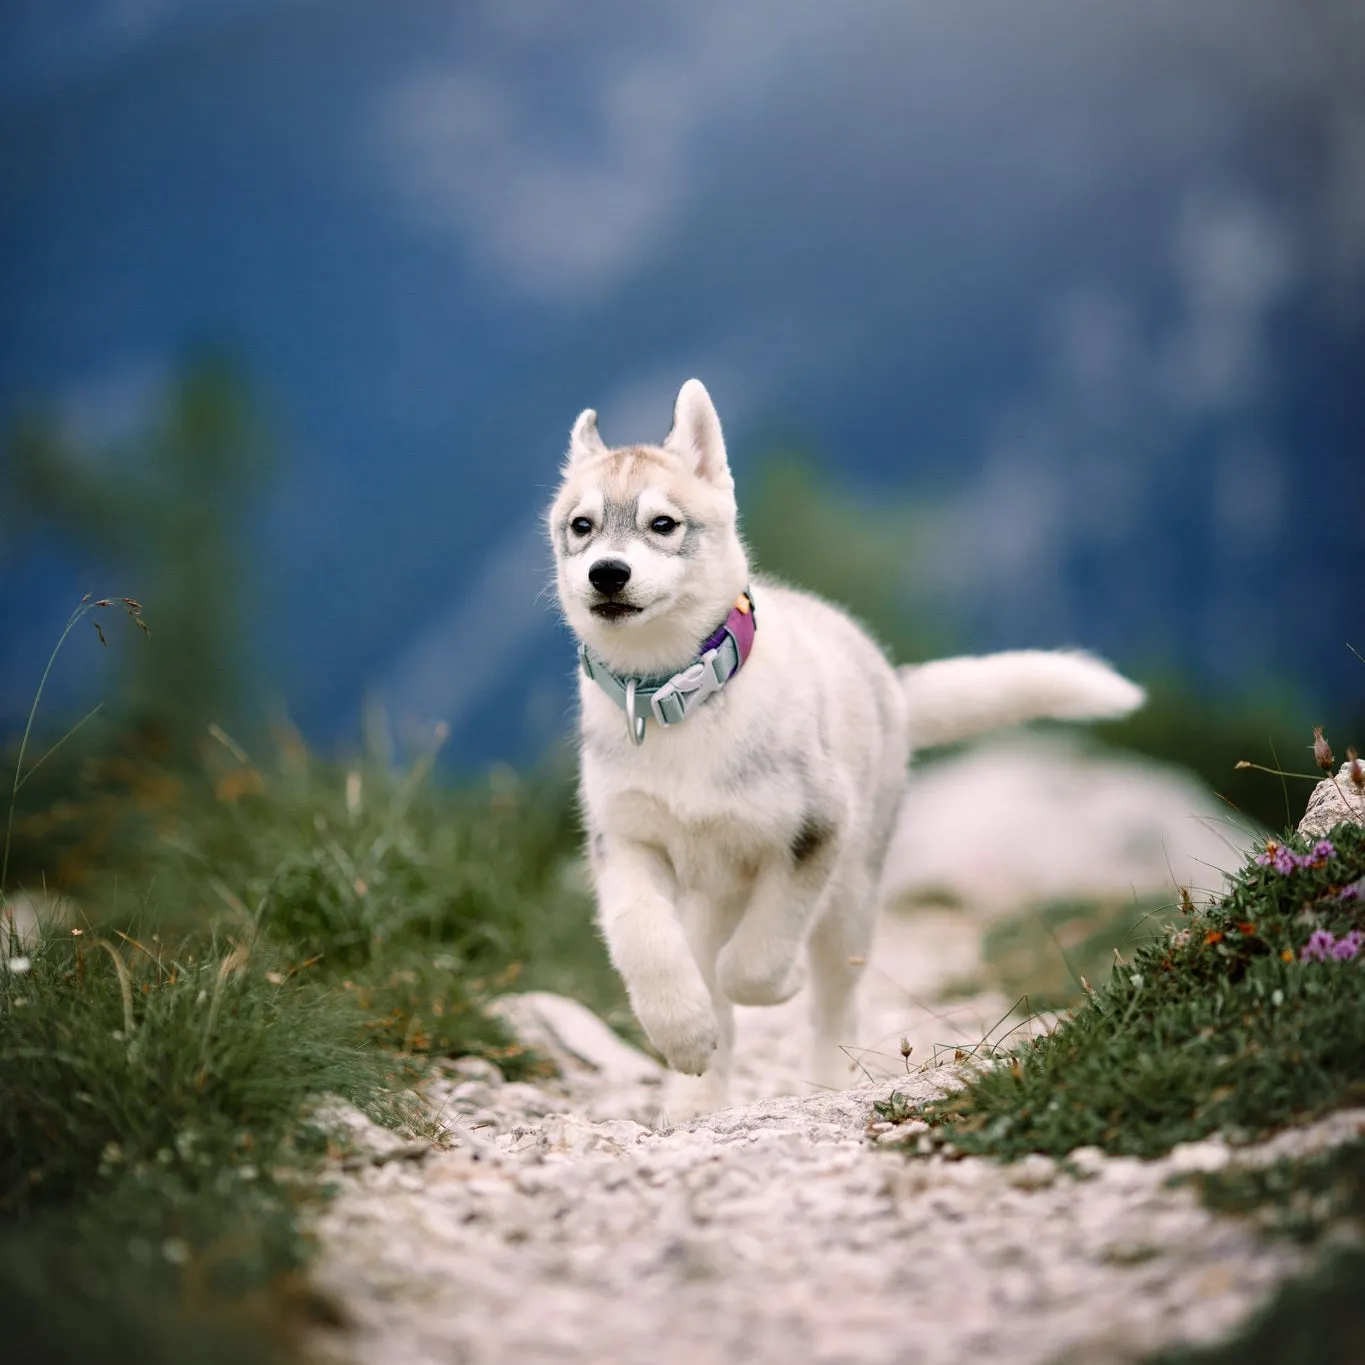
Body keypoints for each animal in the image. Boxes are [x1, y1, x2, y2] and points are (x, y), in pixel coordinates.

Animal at [549, 378, 1144, 1115]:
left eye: (663, 524)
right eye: (581, 526)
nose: (606, 573)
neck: (676, 699)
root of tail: (888, 677)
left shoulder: (815, 830)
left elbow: (759, 957)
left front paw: (773, 986)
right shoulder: (625, 841)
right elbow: (646, 942)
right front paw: (682, 1034)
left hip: (853, 889)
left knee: (835, 997)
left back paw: (827, 1078)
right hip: (714, 894)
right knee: (711, 969)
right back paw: (697, 1098)